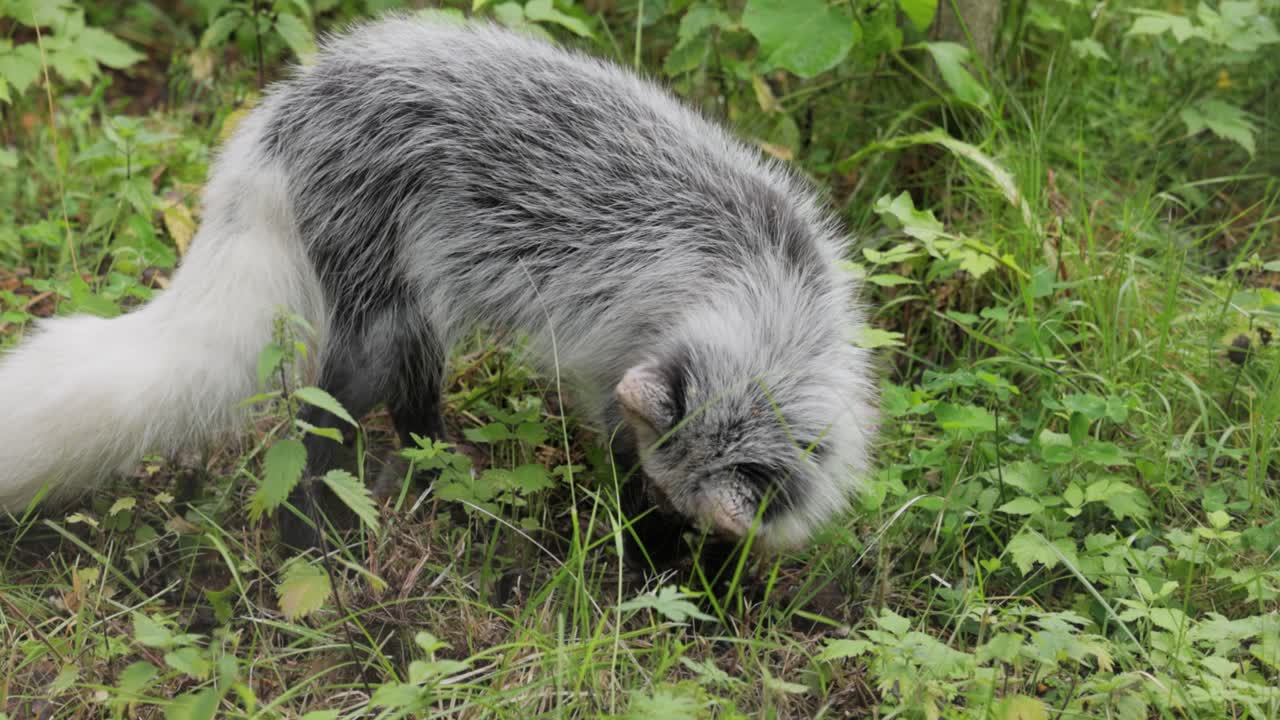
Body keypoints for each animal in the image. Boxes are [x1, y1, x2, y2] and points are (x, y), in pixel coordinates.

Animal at [0, 15, 877, 569]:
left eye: (688, 515)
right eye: (656, 497)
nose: (663, 563)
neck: (766, 286)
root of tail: (282, 120)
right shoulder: (622, 358)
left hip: (418, 306)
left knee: (413, 406)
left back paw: (446, 473)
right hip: (377, 311)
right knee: (316, 429)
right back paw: (317, 539)